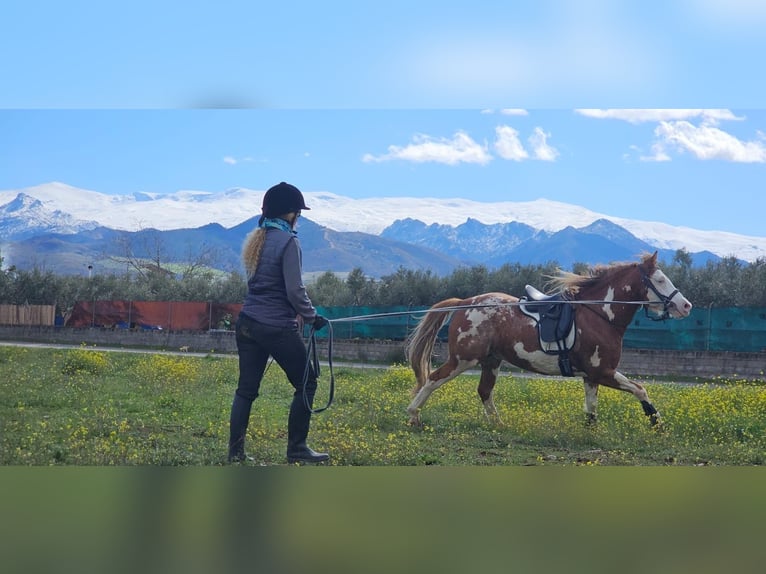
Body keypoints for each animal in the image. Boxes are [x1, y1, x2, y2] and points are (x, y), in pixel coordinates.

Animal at [405, 252, 692, 427]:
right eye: (660, 280)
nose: (686, 306)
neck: (600, 313)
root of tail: (465, 302)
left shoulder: (592, 376)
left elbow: (591, 409)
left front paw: (590, 433)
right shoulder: (603, 371)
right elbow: (640, 388)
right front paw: (656, 422)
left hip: (491, 360)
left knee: (484, 391)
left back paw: (499, 425)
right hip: (463, 358)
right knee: (433, 379)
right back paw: (413, 415)